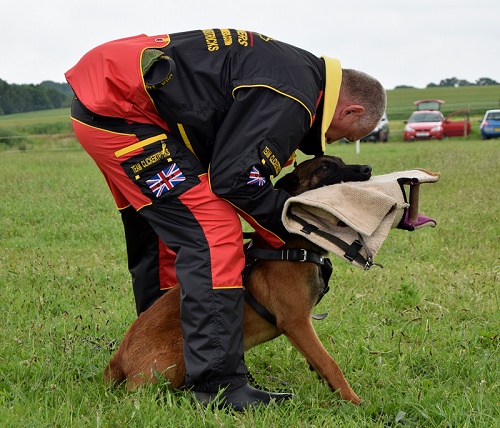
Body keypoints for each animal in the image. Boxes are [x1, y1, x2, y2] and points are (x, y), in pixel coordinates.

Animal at [104, 155, 372, 402]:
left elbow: (318, 362)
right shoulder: (297, 323)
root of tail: (117, 359)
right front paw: (352, 400)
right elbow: (329, 363)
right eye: (326, 167)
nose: (367, 169)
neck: (290, 248)